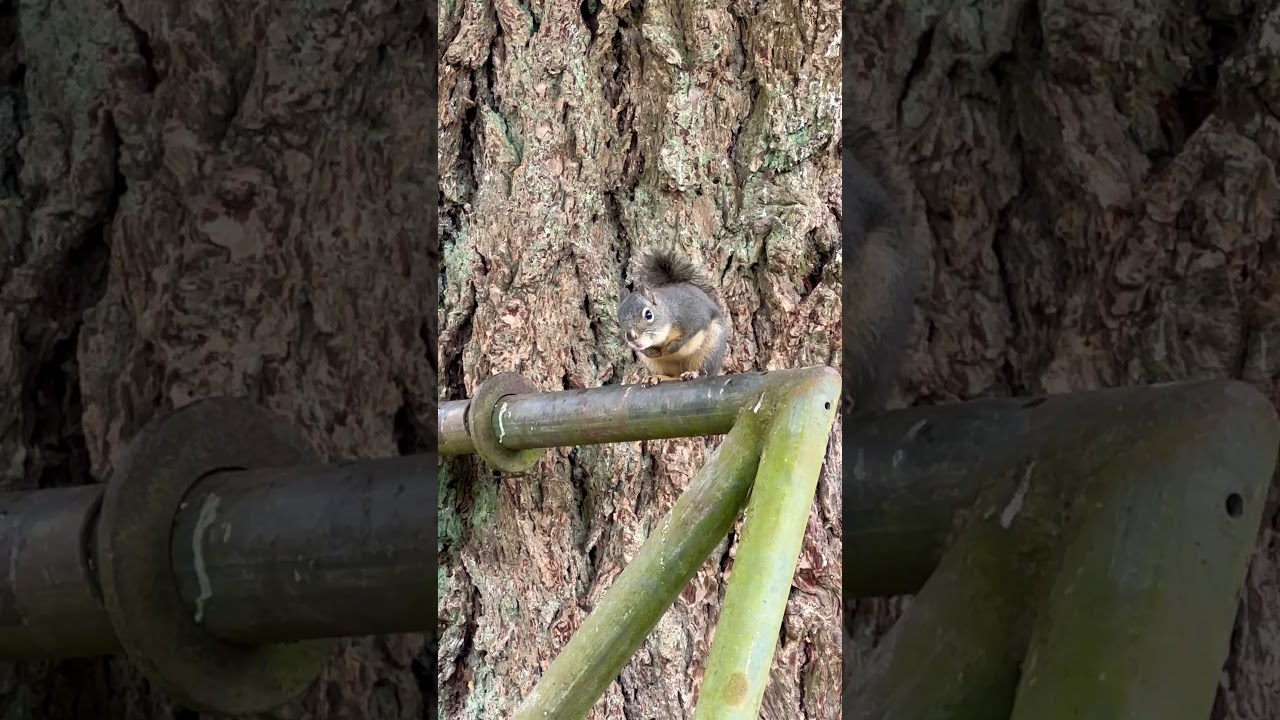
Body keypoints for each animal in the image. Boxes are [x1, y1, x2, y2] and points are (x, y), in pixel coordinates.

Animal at [617, 248, 730, 386]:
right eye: (618, 320)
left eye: (648, 314)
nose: (630, 336)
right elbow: (643, 350)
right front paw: (652, 352)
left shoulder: (693, 318)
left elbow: (687, 336)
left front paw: (670, 348)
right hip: (658, 365)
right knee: (673, 376)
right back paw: (656, 377)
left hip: (709, 350)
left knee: (704, 371)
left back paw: (693, 373)